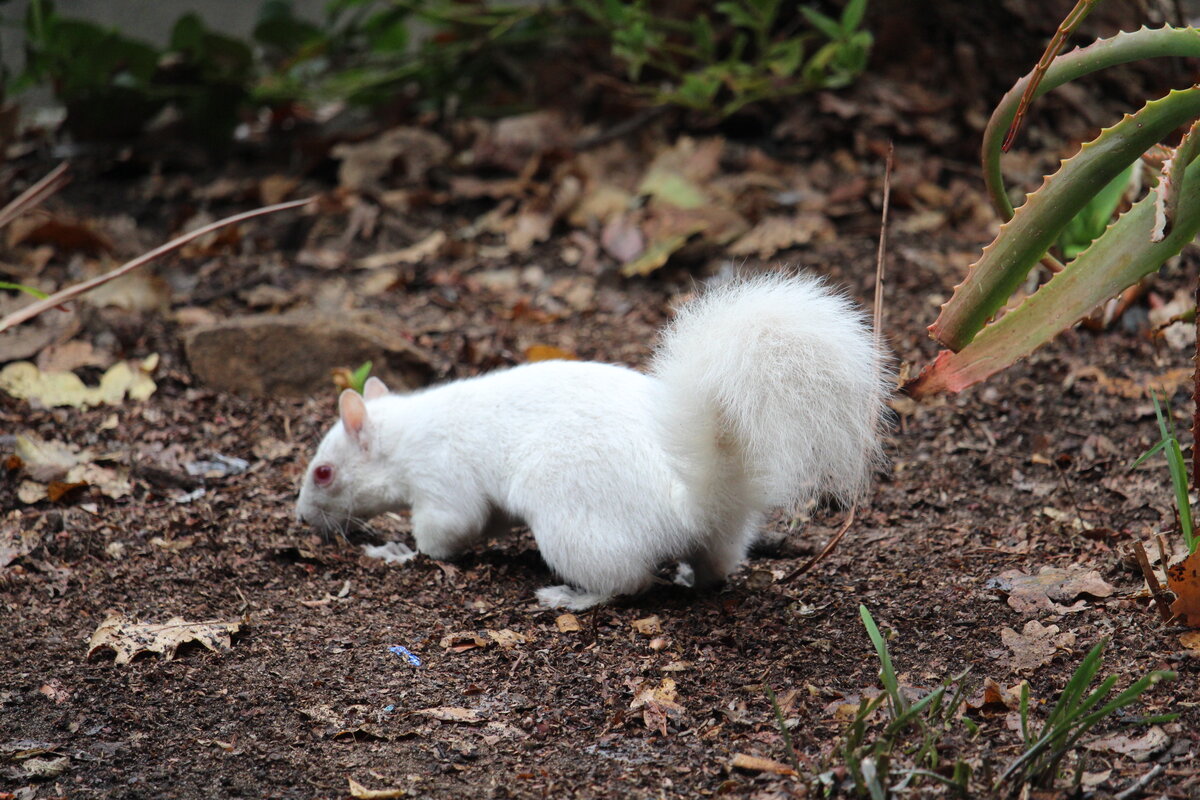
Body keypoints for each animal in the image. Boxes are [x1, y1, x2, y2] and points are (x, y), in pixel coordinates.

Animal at [295, 272, 888, 609]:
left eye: (324, 472)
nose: (302, 518)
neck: (405, 434)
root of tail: (687, 503)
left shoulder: (442, 479)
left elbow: (443, 534)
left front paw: (393, 550)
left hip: (571, 523)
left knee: (629, 584)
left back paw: (569, 596)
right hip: (720, 538)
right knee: (714, 567)